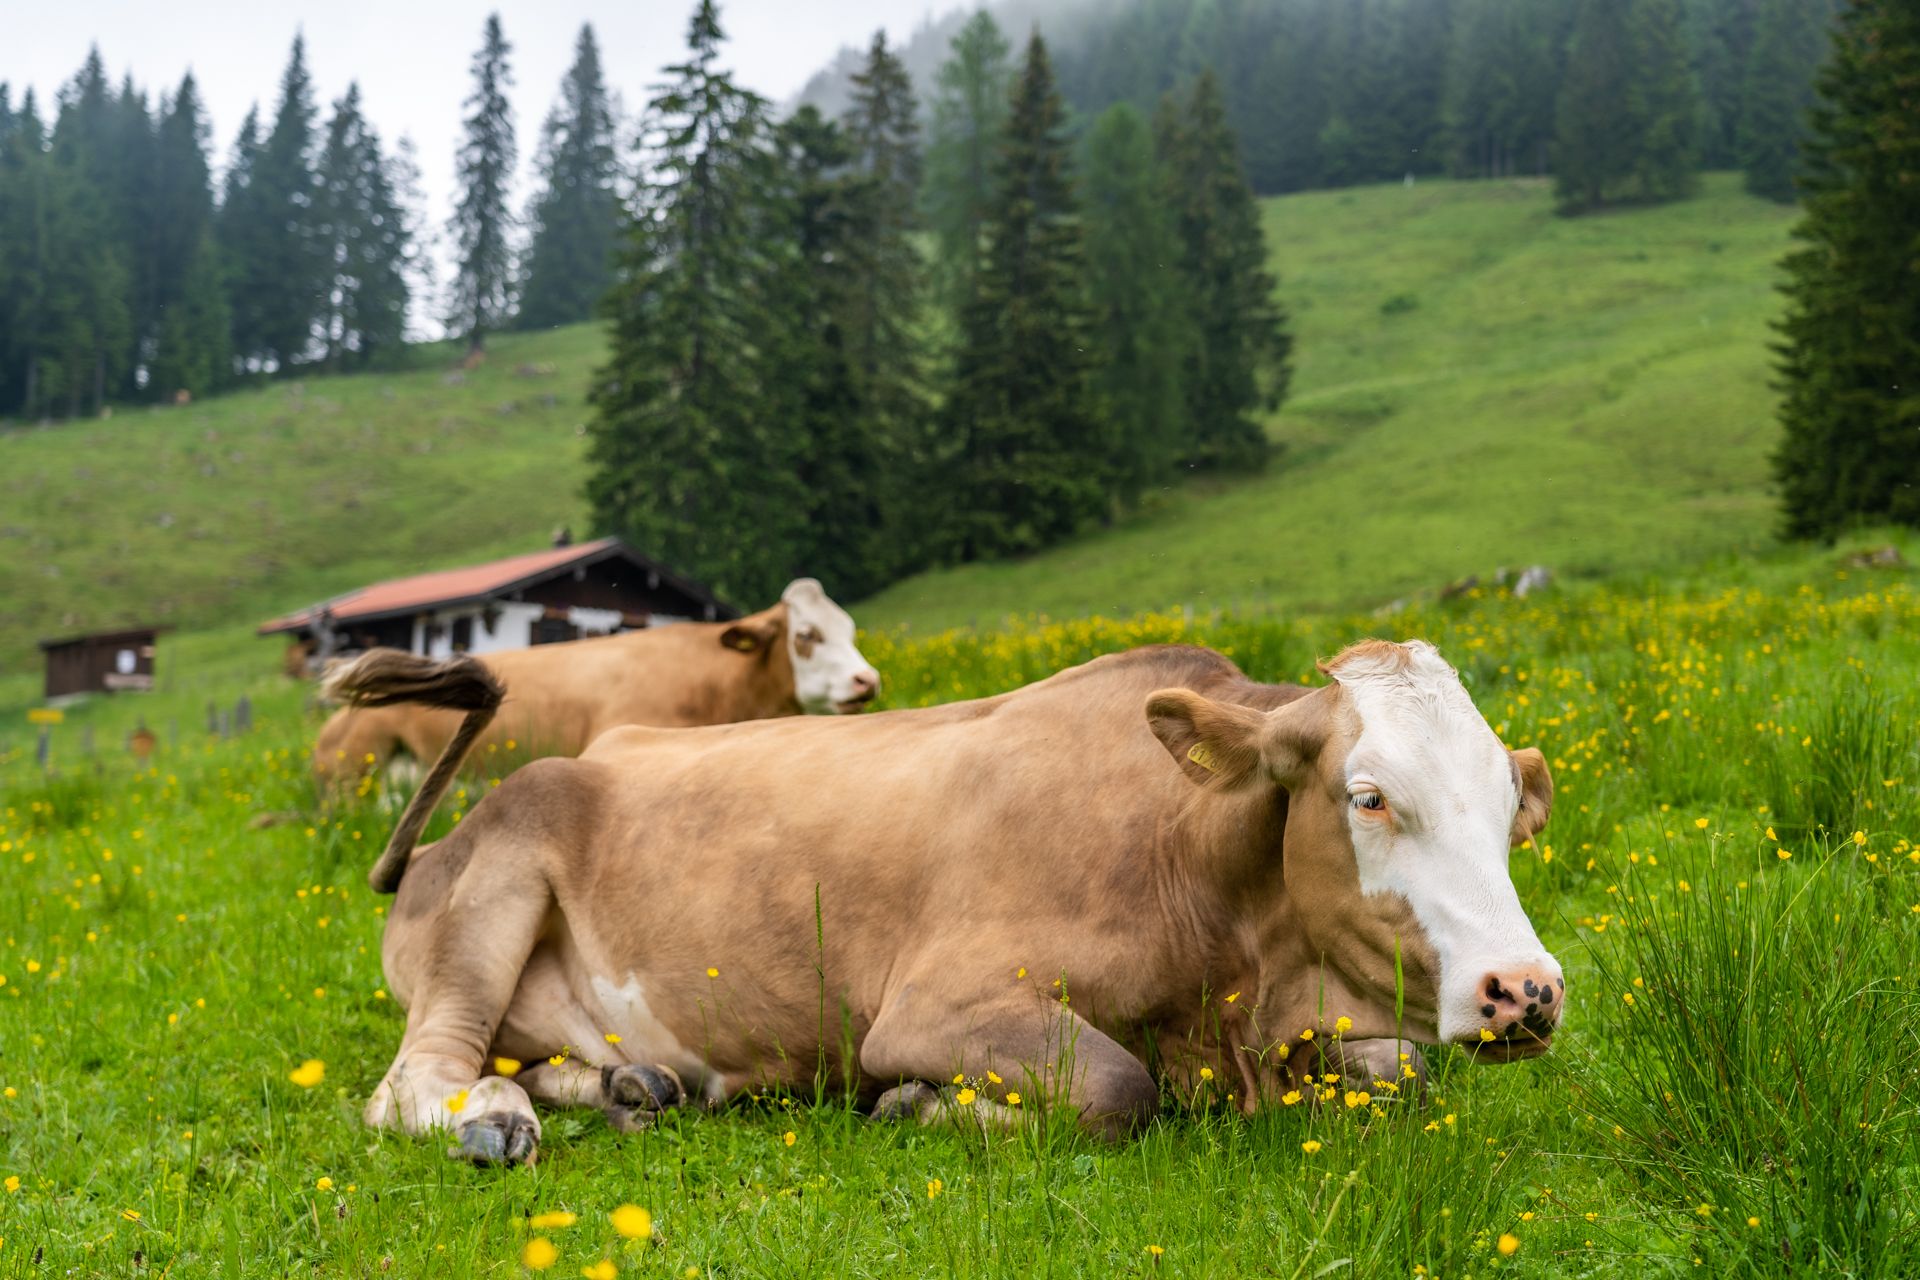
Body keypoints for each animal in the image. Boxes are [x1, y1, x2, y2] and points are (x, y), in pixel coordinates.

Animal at [325, 637, 1561, 1165]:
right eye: (1368, 796)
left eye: (1510, 804)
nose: (1525, 990)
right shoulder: (936, 1004)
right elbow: (1116, 1086)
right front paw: (920, 1104)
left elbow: (1403, 1072)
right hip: (500, 878)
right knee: (416, 1072)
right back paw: (487, 1116)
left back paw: (636, 1084)